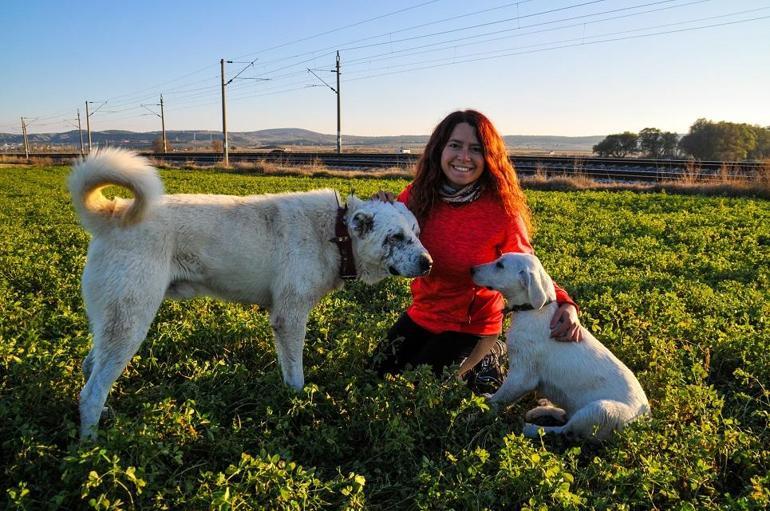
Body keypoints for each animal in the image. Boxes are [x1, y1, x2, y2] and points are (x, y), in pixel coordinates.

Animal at [68, 149, 432, 440]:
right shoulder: (289, 318)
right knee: (91, 392)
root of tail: (115, 212)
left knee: (90, 367)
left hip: (114, 322)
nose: (429, 263)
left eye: (416, 233)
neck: (335, 233)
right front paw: (297, 403)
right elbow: (296, 376)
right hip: (131, 322)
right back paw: (90, 447)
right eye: (395, 237)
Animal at [468, 254, 648, 442]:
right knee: (564, 417)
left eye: (500, 265)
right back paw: (540, 409)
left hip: (600, 410)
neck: (533, 310)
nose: (471, 270)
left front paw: (477, 411)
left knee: (564, 431)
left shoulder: (522, 376)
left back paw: (531, 428)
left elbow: (500, 398)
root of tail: (645, 418)